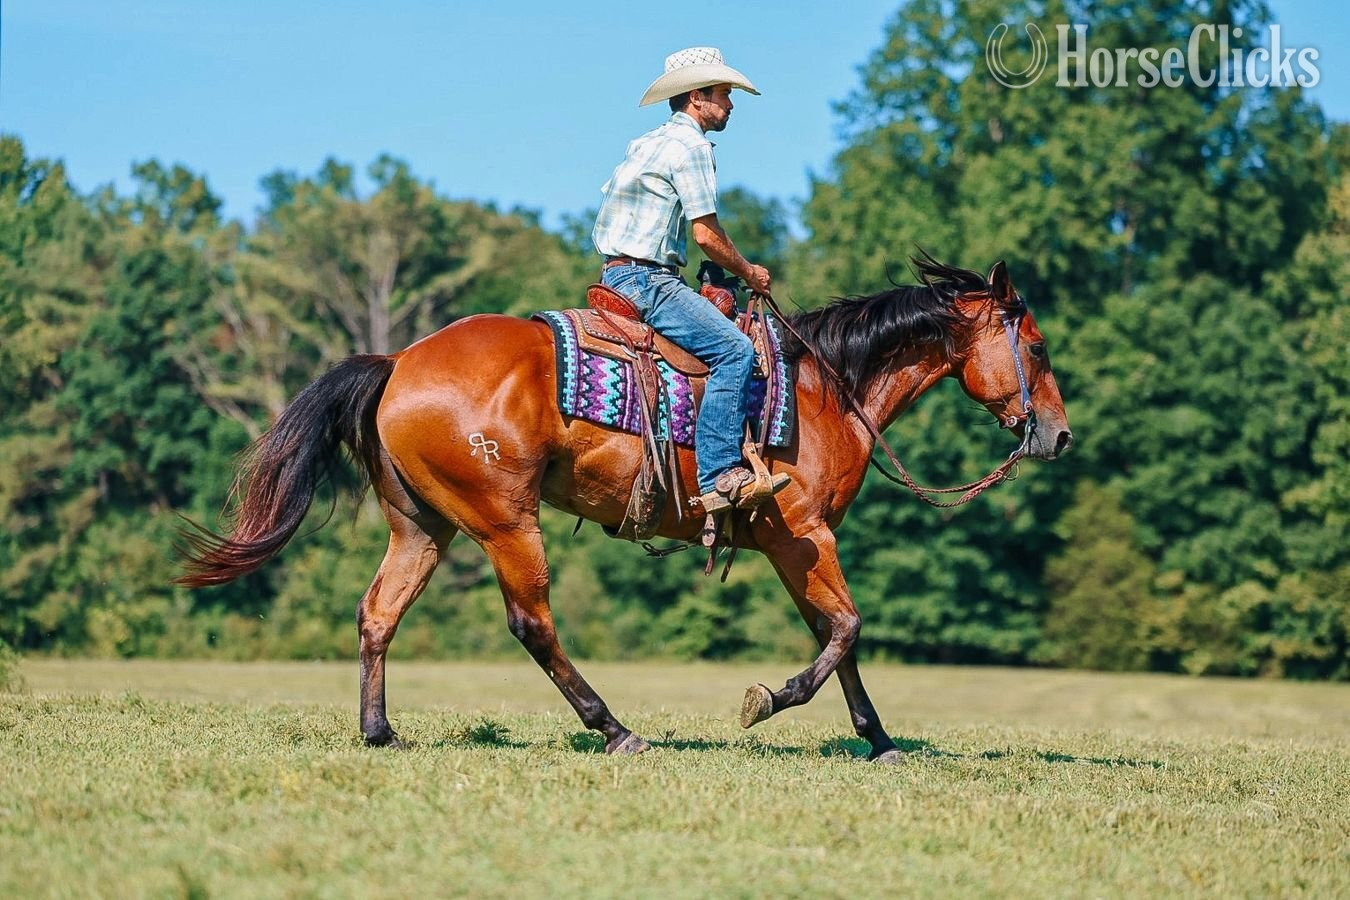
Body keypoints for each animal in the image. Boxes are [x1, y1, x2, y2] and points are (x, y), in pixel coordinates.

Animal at [179, 253, 1072, 761]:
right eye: (1035, 347)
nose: (1059, 434)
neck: (827, 389)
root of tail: (398, 362)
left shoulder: (798, 545)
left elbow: (837, 634)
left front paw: (879, 741)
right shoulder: (804, 534)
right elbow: (846, 629)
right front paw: (769, 701)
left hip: (421, 527)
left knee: (378, 614)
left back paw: (379, 732)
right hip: (506, 520)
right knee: (532, 624)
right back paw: (613, 729)